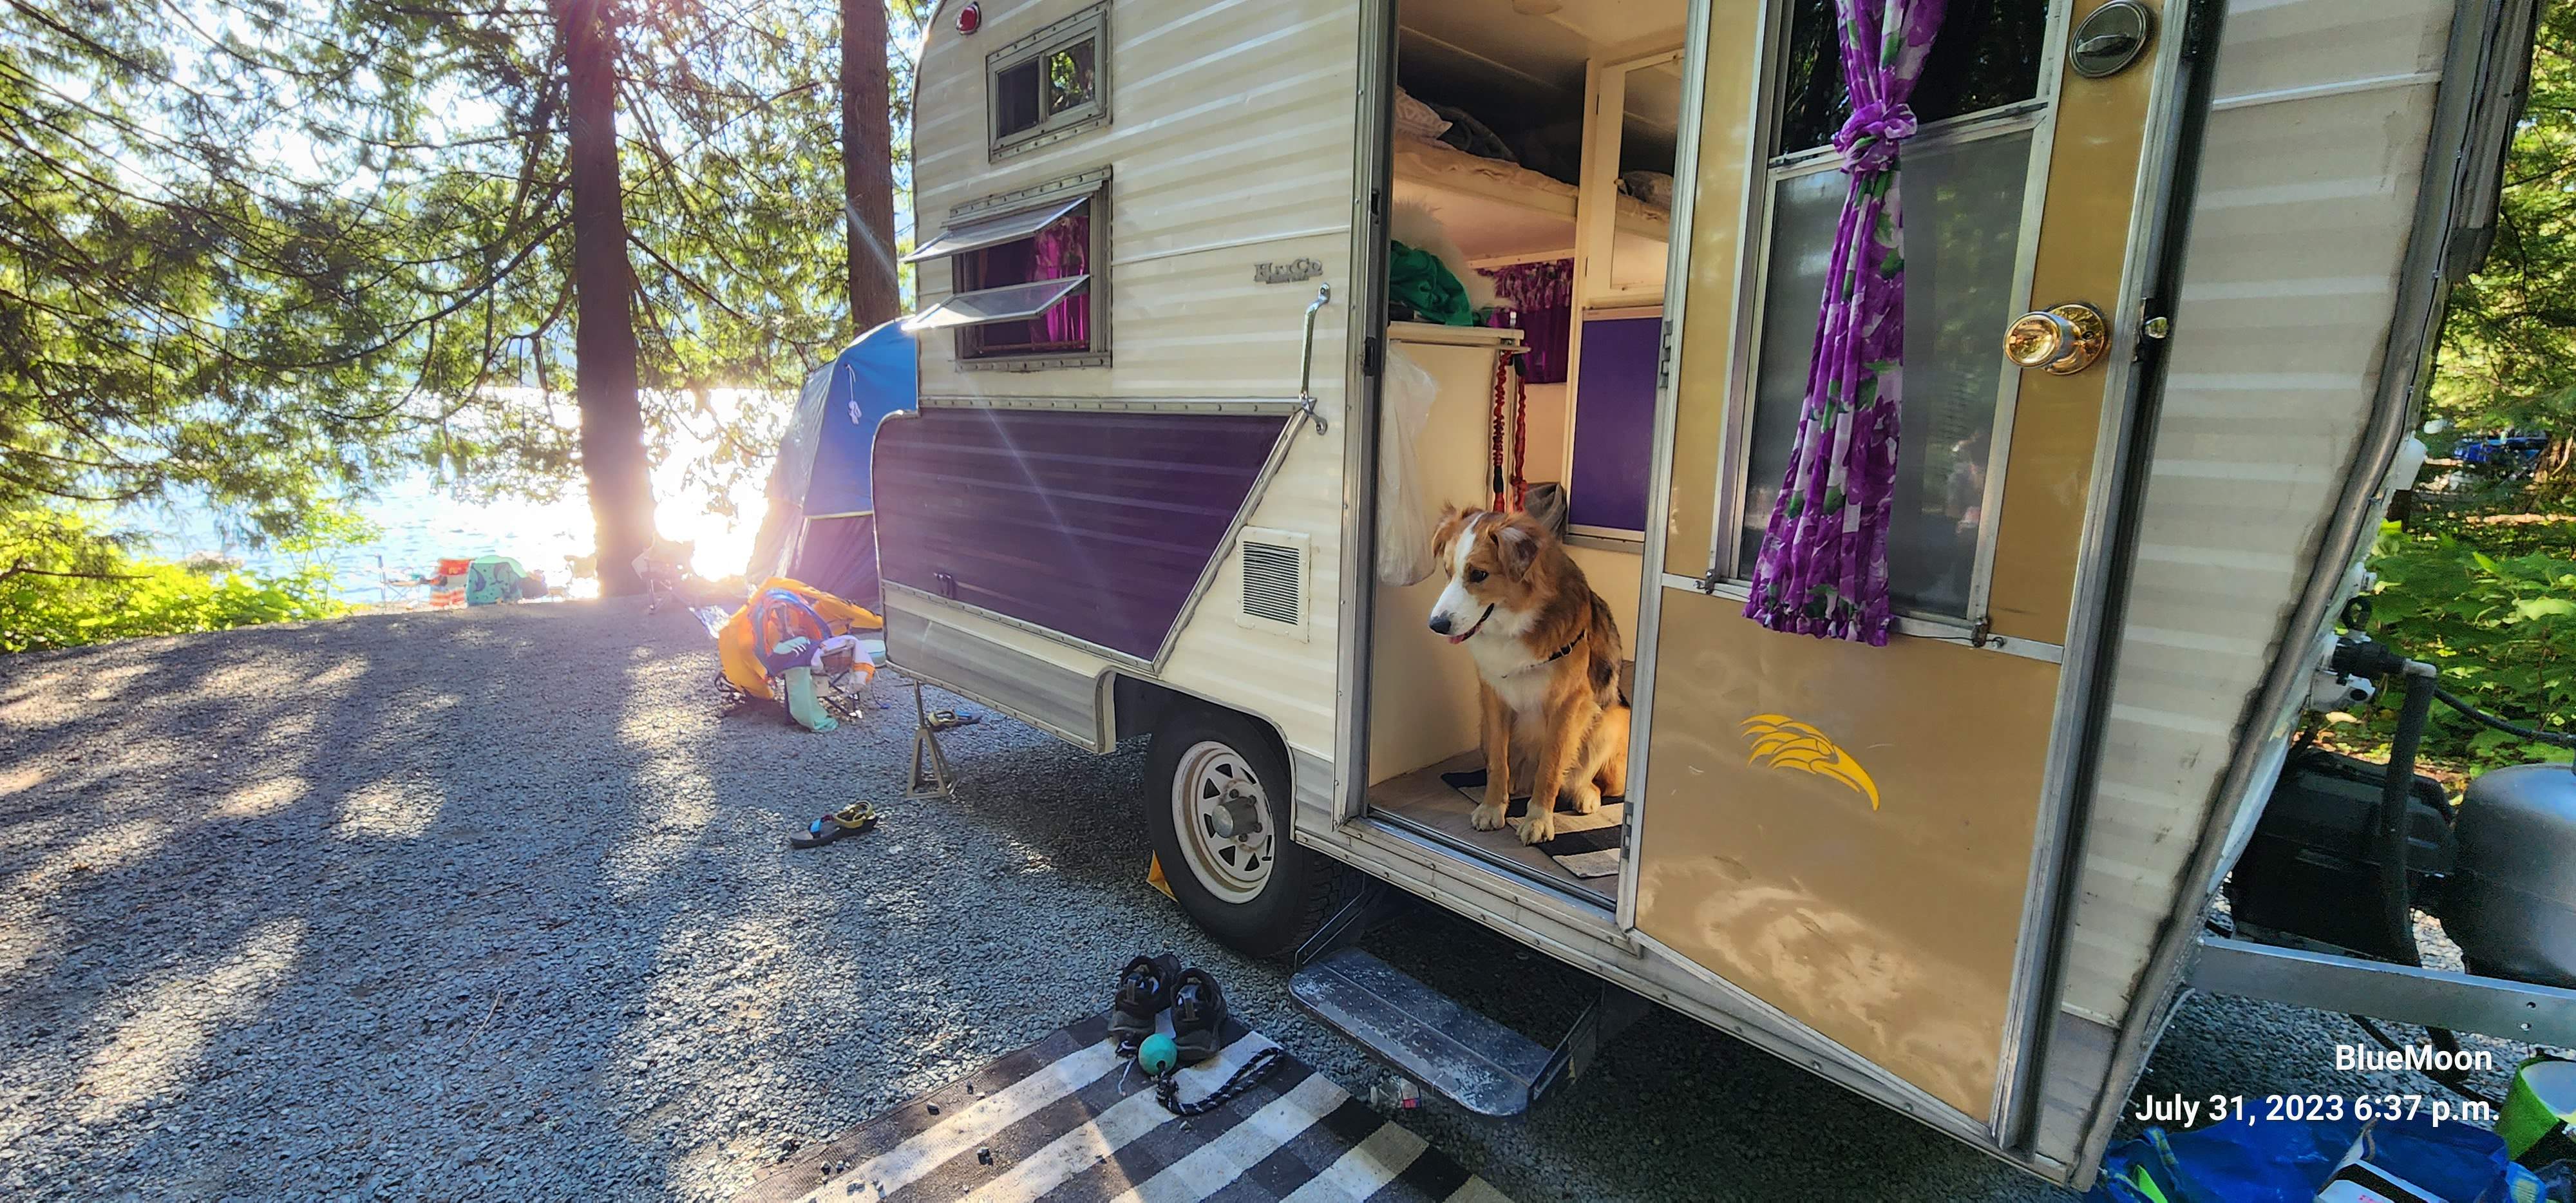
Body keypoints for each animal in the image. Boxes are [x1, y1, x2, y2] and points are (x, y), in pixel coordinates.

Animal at [1432, 507, 1628, 850]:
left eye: (1478, 575)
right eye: (1448, 571)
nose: (1436, 625)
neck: (1514, 623)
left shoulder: (1567, 705)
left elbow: (1551, 767)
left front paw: (1538, 820)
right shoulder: (1493, 697)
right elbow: (1498, 762)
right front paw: (1492, 806)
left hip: (1611, 721)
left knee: (1586, 780)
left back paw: (1585, 795)